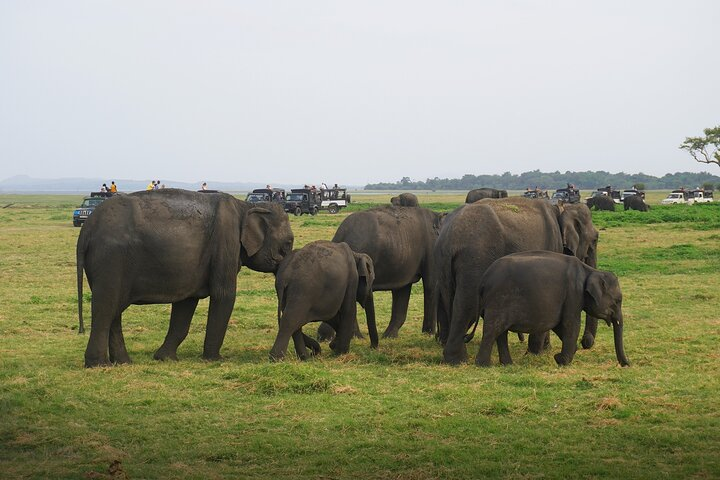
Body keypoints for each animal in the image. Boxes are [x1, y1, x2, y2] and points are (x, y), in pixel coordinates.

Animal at [76, 189, 294, 367]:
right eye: (288, 243)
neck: (245, 206)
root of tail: (87, 228)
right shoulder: (225, 243)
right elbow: (224, 295)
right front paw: (215, 360)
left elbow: (186, 303)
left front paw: (165, 358)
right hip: (111, 258)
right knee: (106, 307)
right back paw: (98, 365)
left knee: (114, 310)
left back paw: (123, 362)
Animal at [322, 206, 445, 339]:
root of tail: (340, 235)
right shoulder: (432, 248)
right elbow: (431, 284)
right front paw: (428, 334)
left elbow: (402, 289)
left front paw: (389, 336)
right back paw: (355, 337)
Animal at [435, 197, 600, 365]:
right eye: (595, 239)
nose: (586, 343)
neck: (561, 207)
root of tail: (450, 237)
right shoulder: (553, 245)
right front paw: (535, 353)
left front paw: (545, 348)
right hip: (475, 260)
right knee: (466, 305)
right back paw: (458, 360)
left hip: (443, 265)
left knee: (450, 302)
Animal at [473, 251, 630, 367]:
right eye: (617, 301)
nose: (626, 364)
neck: (590, 270)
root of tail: (483, 281)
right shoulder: (573, 295)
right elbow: (571, 324)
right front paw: (561, 360)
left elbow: (559, 326)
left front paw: (561, 357)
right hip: (498, 301)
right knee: (492, 330)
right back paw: (483, 365)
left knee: (501, 332)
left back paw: (507, 364)